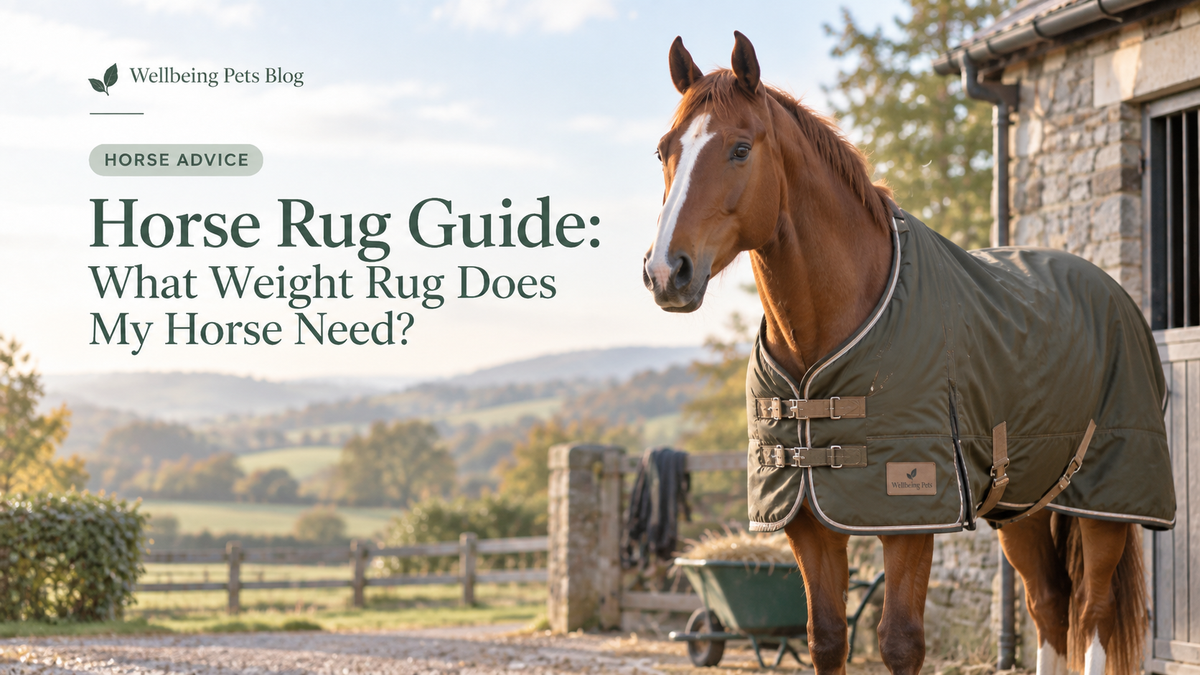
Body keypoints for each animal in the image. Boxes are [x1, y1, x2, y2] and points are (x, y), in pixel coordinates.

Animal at [642, 32, 1167, 675]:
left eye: (740, 148)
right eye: (664, 150)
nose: (667, 272)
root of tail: (1110, 290)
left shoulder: (913, 516)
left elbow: (899, 641)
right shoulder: (809, 522)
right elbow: (827, 638)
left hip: (1104, 502)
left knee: (1091, 612)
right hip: (1024, 506)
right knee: (1049, 604)